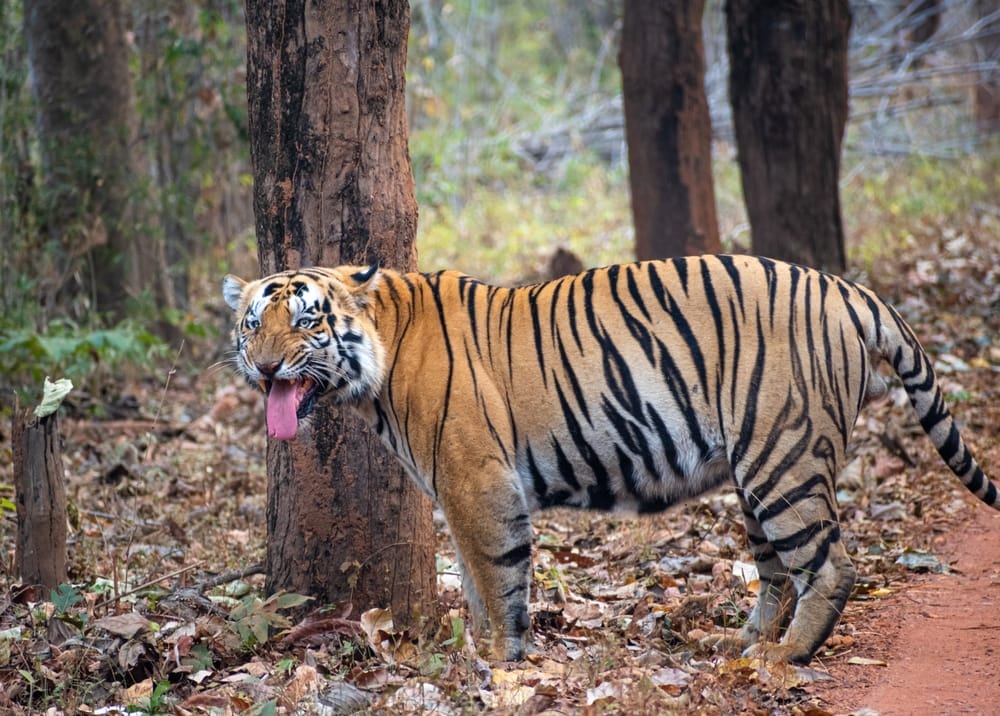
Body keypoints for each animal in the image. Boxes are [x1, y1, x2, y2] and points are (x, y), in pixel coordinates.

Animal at [222, 254, 999, 664]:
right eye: (251, 323)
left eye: (308, 321)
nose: (265, 368)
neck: (374, 369)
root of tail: (847, 287)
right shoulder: (456, 493)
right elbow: (471, 583)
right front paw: (478, 657)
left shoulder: (479, 484)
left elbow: (496, 583)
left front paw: (500, 666)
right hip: (760, 468)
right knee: (779, 571)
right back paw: (741, 644)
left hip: (784, 459)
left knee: (830, 566)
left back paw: (780, 660)